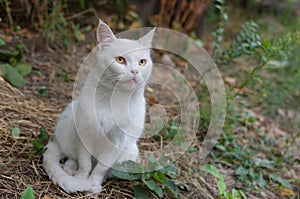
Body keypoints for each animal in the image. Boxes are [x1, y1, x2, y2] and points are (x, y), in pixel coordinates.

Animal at [43, 19, 156, 193]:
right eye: (120, 60)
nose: (135, 71)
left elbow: (100, 167)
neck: (112, 100)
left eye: (142, 62)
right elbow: (84, 163)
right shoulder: (84, 134)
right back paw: (69, 171)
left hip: (130, 151)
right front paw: (80, 179)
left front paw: (94, 184)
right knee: (72, 157)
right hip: (69, 123)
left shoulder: (117, 142)